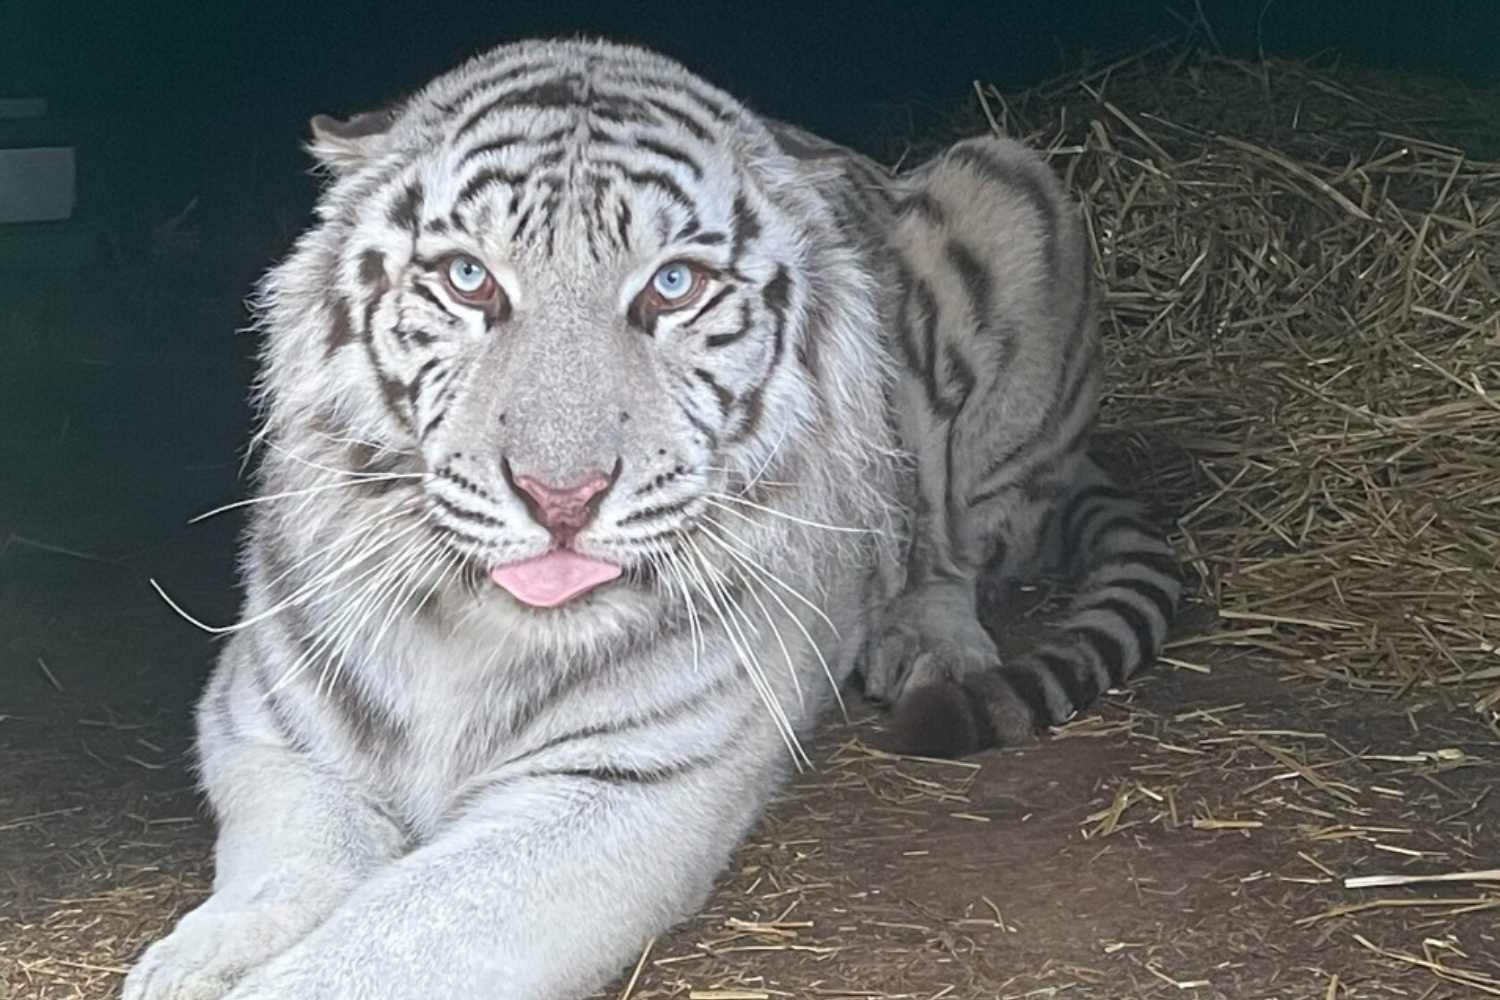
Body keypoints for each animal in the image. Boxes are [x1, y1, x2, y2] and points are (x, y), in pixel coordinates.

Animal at [123, 36, 1181, 1000]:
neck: (466, 629)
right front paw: (192, 965)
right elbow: (293, 866)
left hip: (1006, 186)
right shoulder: (268, 734)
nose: (561, 496)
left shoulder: (624, 788)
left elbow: (396, 934)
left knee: (957, 541)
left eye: (674, 286)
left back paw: (933, 642)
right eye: (468, 279)